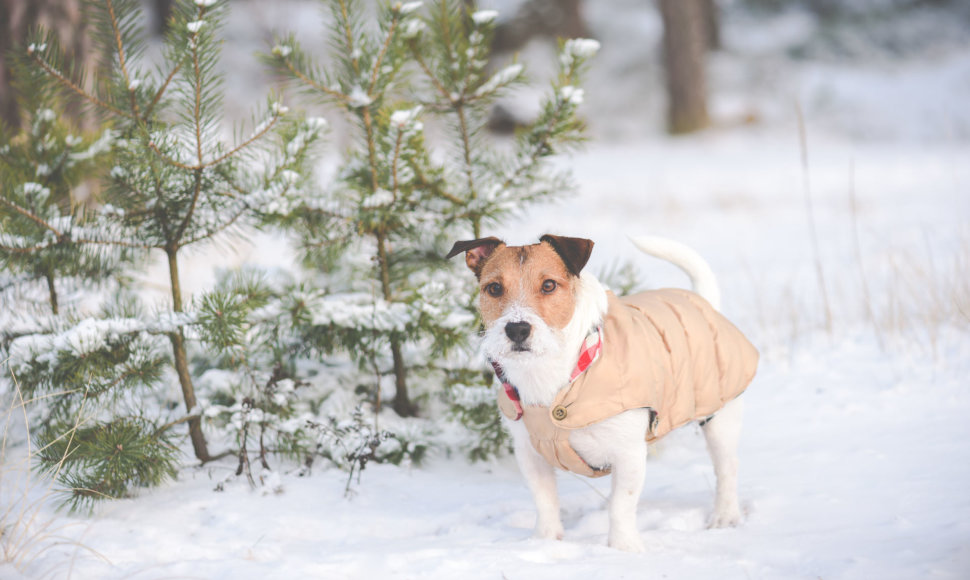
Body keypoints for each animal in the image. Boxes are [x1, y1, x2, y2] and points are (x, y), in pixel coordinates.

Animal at [446, 233, 756, 552]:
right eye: (494, 288)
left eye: (549, 285)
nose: (517, 329)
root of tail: (703, 302)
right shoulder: (530, 453)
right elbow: (545, 501)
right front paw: (545, 541)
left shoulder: (629, 453)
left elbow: (621, 505)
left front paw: (622, 548)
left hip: (719, 416)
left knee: (727, 467)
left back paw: (724, 515)